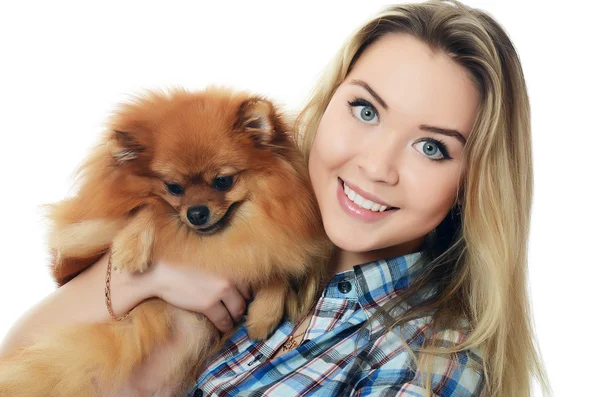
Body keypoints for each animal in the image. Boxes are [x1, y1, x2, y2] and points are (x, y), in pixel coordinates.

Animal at [0, 87, 332, 396]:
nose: (196, 213)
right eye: (173, 187)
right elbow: (151, 207)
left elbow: (276, 267)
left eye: (223, 181)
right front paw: (130, 246)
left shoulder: (274, 245)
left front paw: (263, 316)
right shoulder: (69, 263)